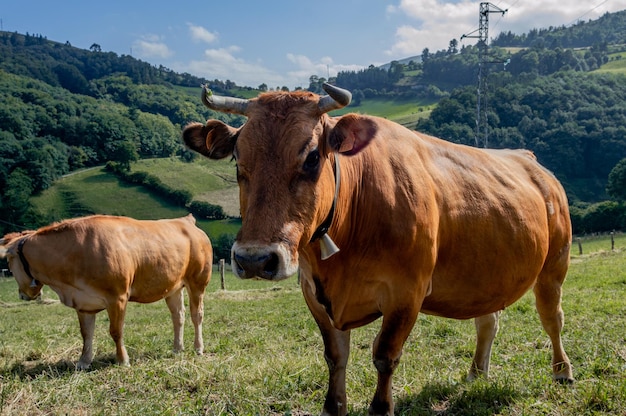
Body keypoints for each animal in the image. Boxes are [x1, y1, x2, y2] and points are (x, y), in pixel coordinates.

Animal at [0, 214, 212, 370]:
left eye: (8, 262)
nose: (22, 294)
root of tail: (185, 220)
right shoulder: (83, 302)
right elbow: (86, 334)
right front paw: (83, 362)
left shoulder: (117, 297)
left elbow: (116, 331)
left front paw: (123, 360)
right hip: (174, 286)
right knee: (178, 316)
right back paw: (177, 348)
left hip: (198, 281)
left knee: (197, 315)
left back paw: (198, 347)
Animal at [180, 83, 572, 414]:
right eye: (237, 159)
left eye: (312, 157)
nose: (255, 259)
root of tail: (532, 161)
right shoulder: (314, 293)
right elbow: (335, 357)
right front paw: (333, 407)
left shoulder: (407, 292)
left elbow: (385, 355)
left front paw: (382, 407)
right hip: (486, 276)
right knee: (487, 321)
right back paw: (477, 372)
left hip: (555, 263)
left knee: (552, 318)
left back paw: (562, 371)